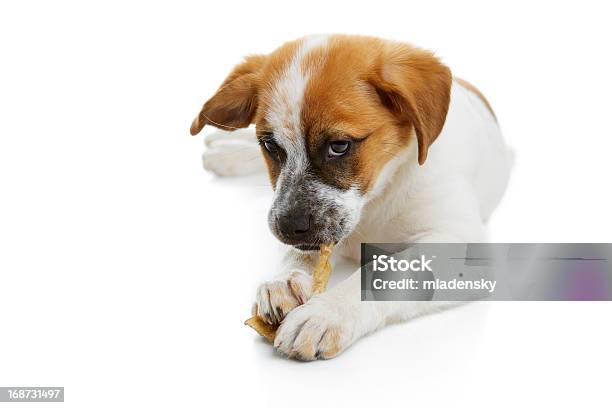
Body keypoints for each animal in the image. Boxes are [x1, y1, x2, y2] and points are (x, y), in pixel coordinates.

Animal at [190, 35, 512, 360]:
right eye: (270, 146)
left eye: (339, 146)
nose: (288, 227)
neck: (377, 195)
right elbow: (300, 252)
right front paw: (283, 280)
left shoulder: (460, 244)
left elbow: (386, 272)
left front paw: (328, 313)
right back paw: (226, 151)